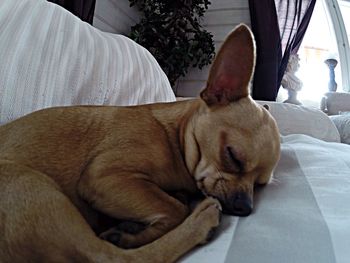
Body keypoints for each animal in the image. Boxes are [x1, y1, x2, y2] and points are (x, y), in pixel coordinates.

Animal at [0, 24, 278, 262]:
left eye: (260, 184)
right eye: (232, 156)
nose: (245, 207)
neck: (173, 138)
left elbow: (172, 201)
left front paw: (131, 227)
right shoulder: (105, 177)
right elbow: (175, 208)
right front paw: (136, 233)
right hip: (31, 184)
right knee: (116, 257)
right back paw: (201, 221)